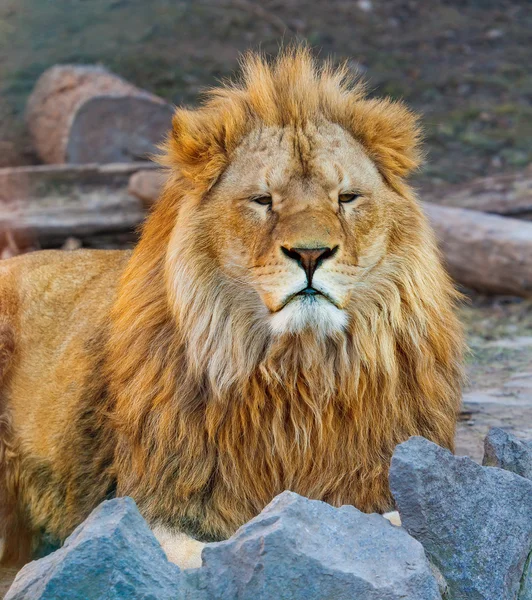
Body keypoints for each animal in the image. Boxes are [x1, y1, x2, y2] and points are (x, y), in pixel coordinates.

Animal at [0, 47, 462, 568]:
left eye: (346, 198)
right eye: (263, 200)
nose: (311, 254)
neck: (299, 376)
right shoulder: (150, 502)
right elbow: (201, 552)